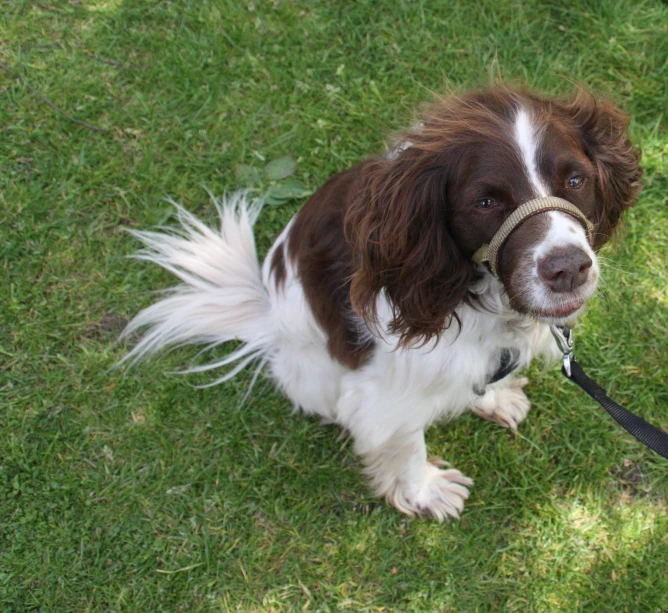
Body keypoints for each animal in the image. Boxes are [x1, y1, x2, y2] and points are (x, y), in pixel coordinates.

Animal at [121, 85, 640, 516]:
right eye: (486, 202)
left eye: (575, 181)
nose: (568, 268)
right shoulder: (384, 386)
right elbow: (403, 441)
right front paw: (425, 491)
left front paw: (494, 397)